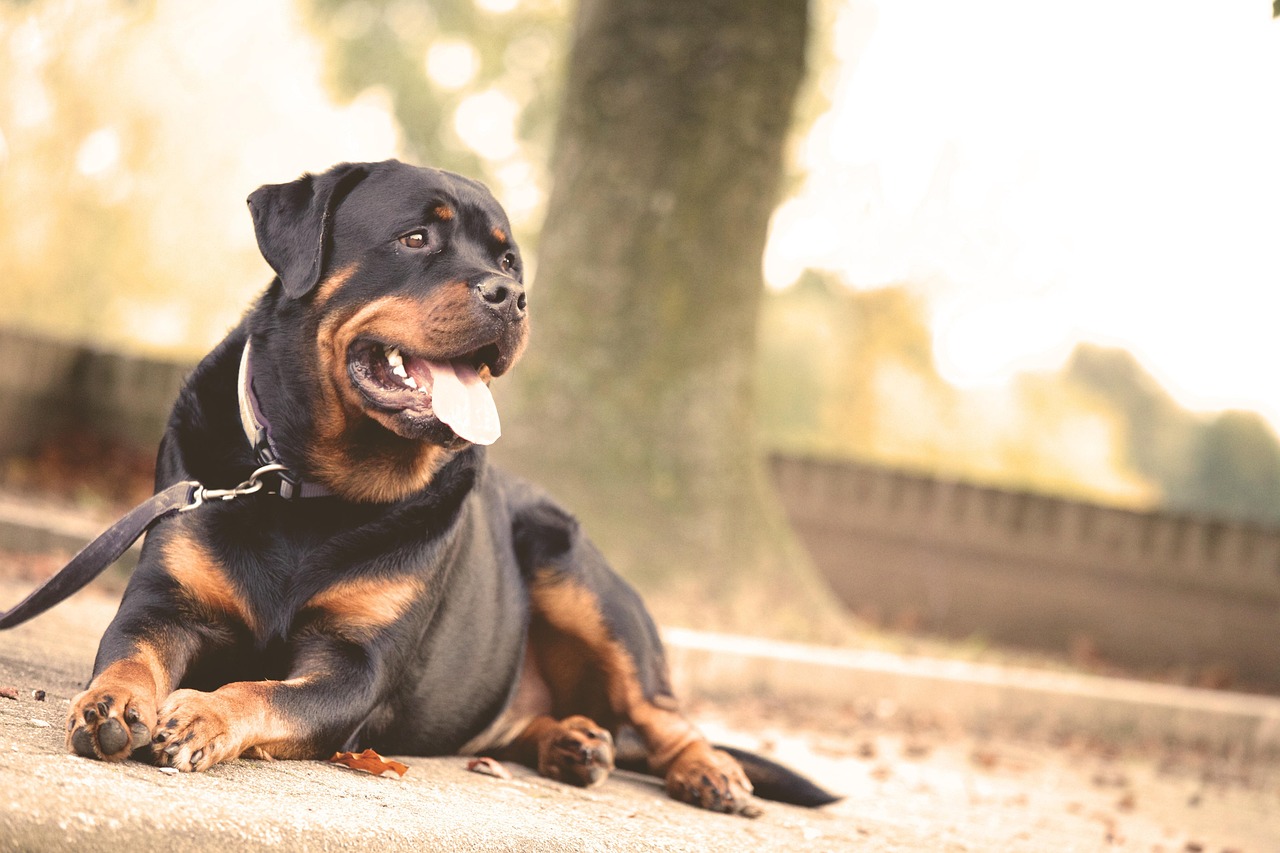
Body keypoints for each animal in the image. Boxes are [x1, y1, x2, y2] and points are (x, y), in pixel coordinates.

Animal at [64, 156, 834, 814]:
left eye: (508, 260)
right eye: (415, 238)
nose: (511, 295)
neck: (307, 484)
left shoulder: (355, 667)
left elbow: (263, 690)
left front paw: (202, 711)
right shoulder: (164, 603)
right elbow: (129, 652)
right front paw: (114, 706)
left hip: (576, 574)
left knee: (663, 712)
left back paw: (707, 770)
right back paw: (573, 740)